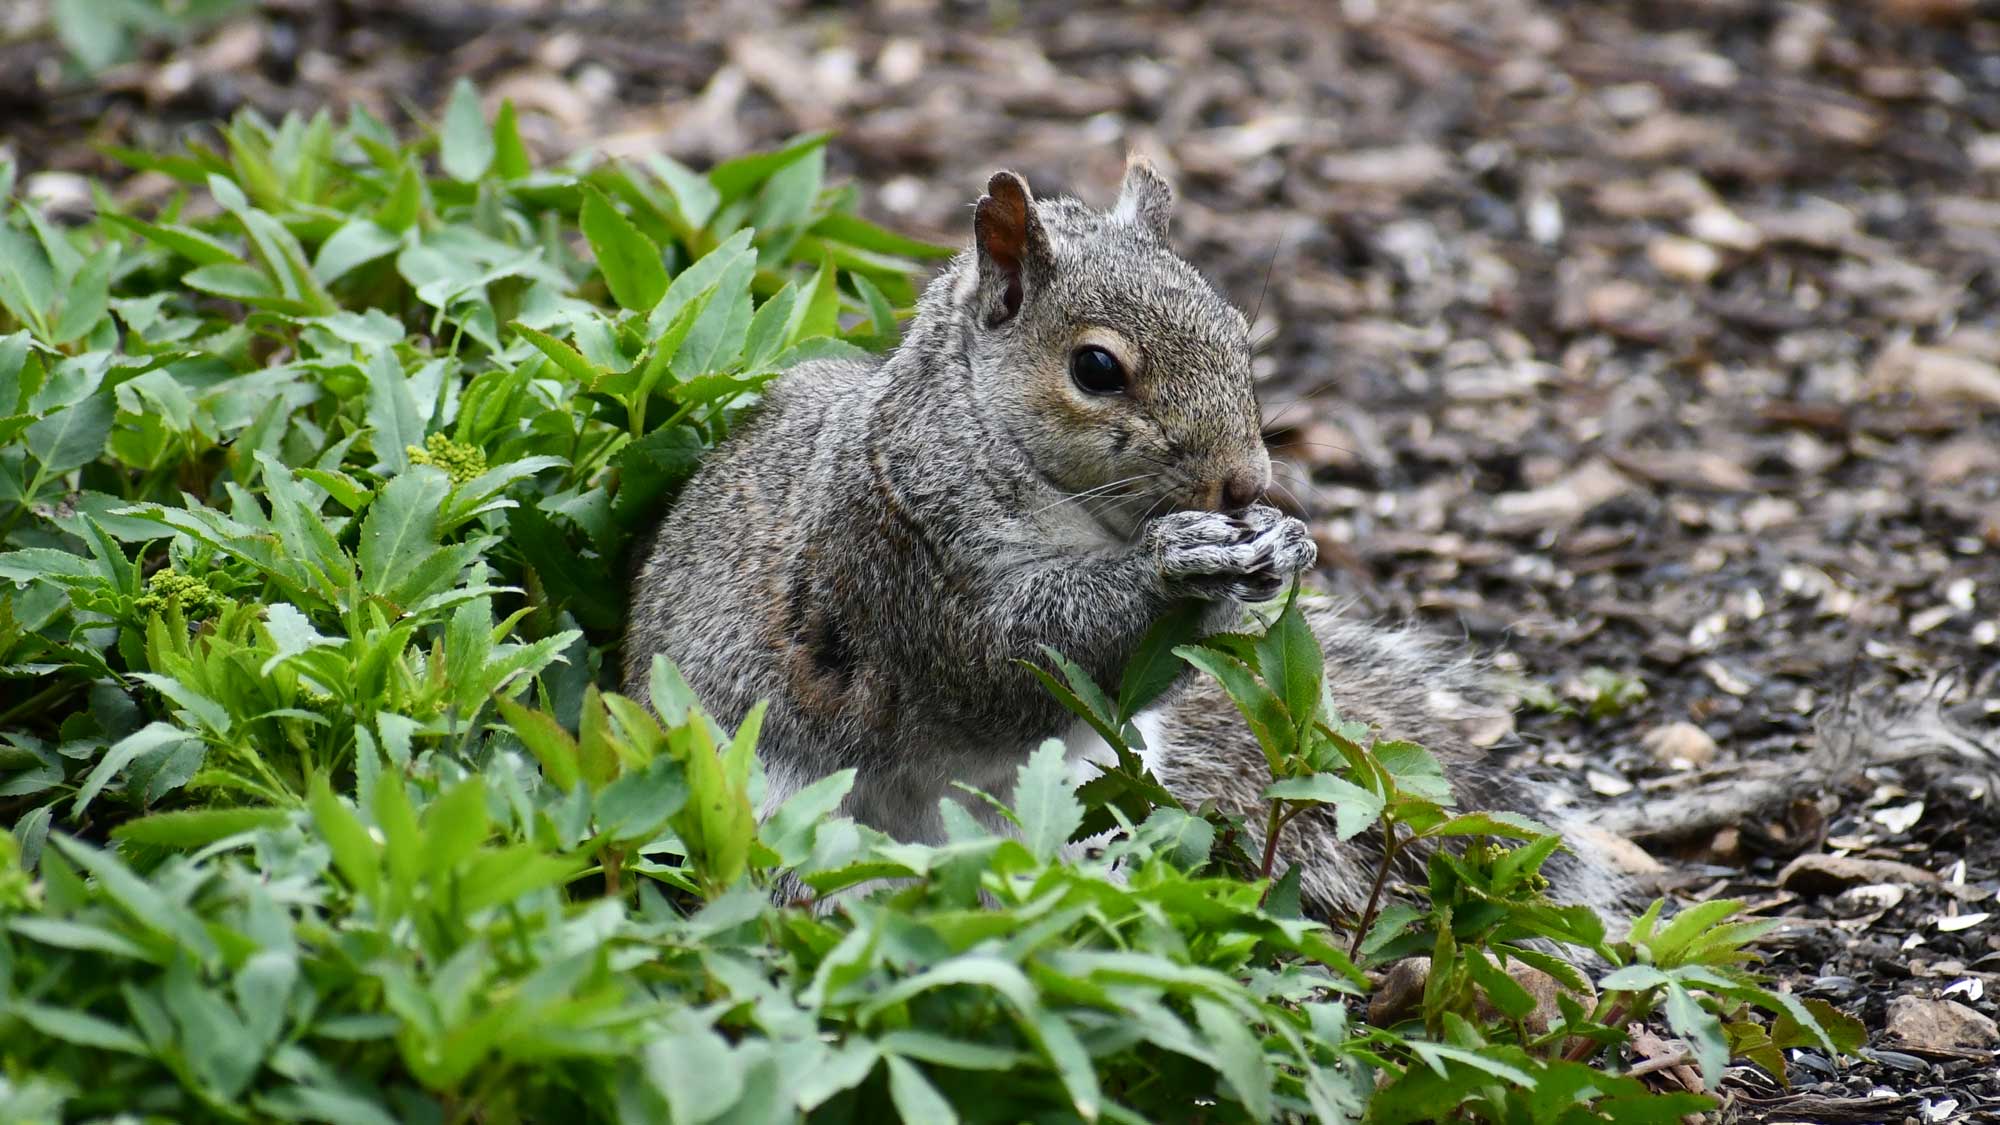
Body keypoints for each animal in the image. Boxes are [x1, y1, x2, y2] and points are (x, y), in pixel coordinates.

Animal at [624, 158, 1625, 918]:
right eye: (1097, 368)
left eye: (1238, 334)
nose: (1245, 483)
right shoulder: (897, 560)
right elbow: (1009, 658)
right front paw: (1179, 564)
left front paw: (1284, 544)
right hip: (758, 797)